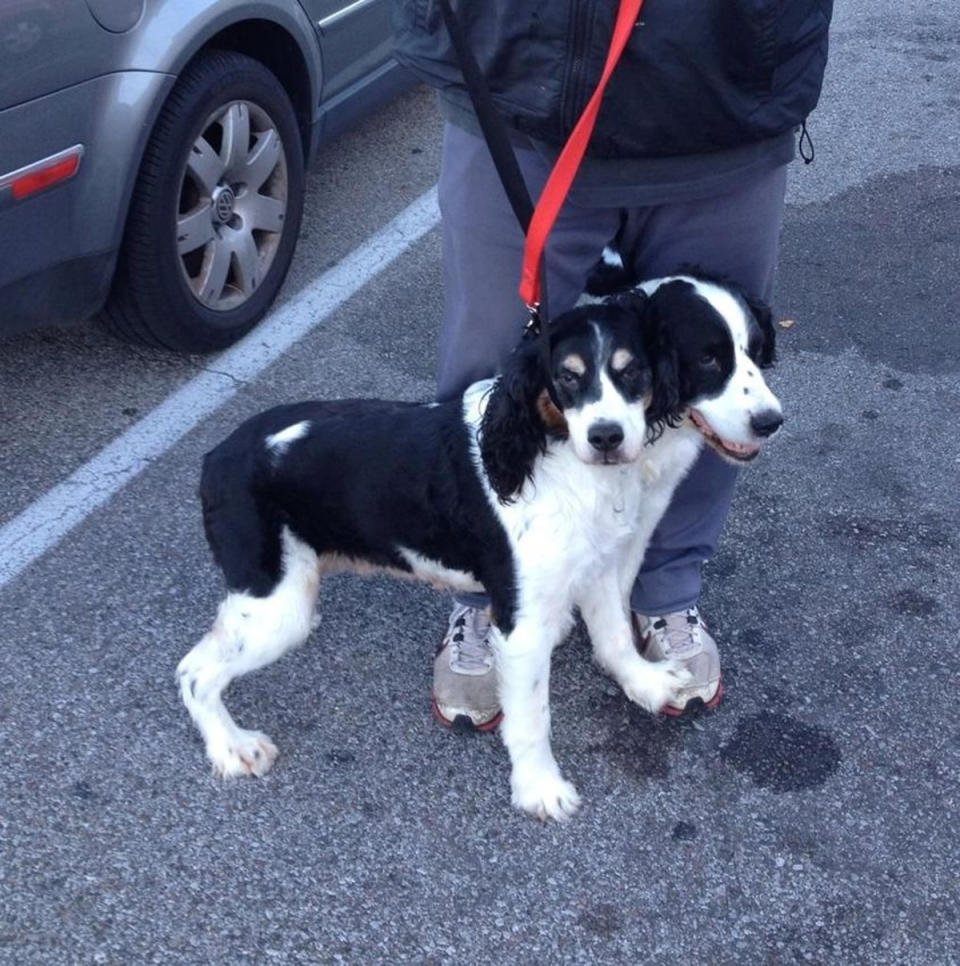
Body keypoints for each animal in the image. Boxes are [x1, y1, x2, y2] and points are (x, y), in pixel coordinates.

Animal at [178, 272, 780, 824]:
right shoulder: (521, 624)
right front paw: (540, 789)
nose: (606, 437)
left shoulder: (598, 565)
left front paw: (647, 684)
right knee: (193, 672)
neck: (556, 458)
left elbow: (613, 636)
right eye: (567, 377)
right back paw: (233, 748)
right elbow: (532, 717)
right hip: (276, 606)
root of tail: (217, 456)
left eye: (634, 370)